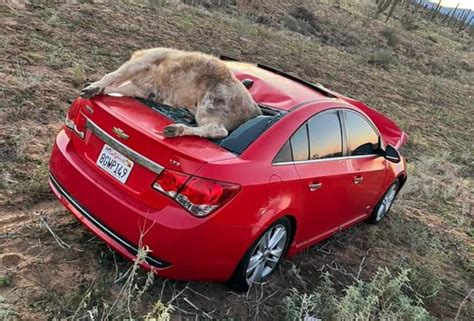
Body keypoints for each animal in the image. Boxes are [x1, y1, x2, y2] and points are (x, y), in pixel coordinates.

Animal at [80, 47, 260, 138]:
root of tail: (255, 108)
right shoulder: (142, 89)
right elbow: (116, 87)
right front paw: (96, 90)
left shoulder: (142, 62)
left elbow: (113, 76)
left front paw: (91, 88)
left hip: (210, 104)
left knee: (218, 130)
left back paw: (175, 129)